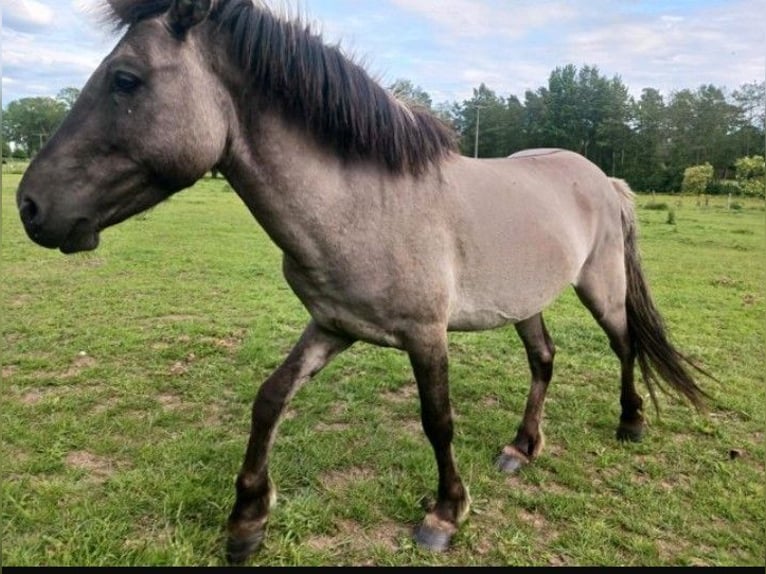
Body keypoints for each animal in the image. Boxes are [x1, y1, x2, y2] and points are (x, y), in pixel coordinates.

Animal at [18, 0, 712, 568]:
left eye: (125, 79)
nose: (30, 206)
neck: (364, 205)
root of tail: (602, 178)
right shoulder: (332, 325)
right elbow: (270, 398)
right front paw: (247, 521)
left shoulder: (426, 336)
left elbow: (438, 421)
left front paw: (444, 514)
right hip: (525, 300)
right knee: (544, 360)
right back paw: (520, 448)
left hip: (601, 287)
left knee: (624, 346)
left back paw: (631, 423)